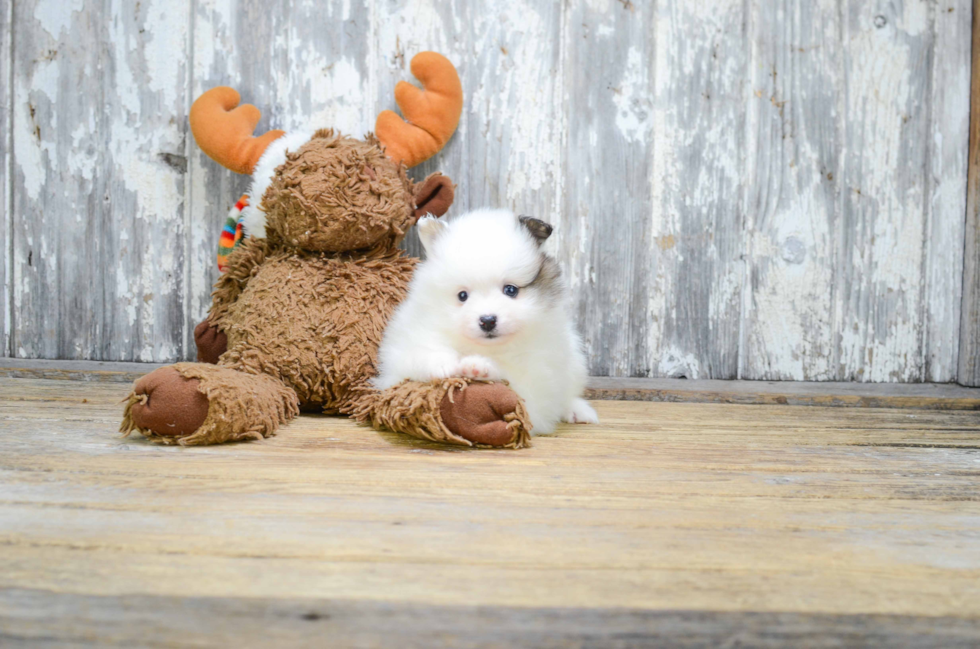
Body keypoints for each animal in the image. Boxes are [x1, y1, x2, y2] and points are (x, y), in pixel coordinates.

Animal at [374, 208, 596, 432]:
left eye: (511, 290)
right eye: (462, 296)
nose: (488, 320)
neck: (487, 348)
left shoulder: (538, 380)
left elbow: (514, 384)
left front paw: (479, 366)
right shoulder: (402, 350)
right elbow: (416, 358)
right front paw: (442, 365)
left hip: (575, 364)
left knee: (568, 395)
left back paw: (577, 410)